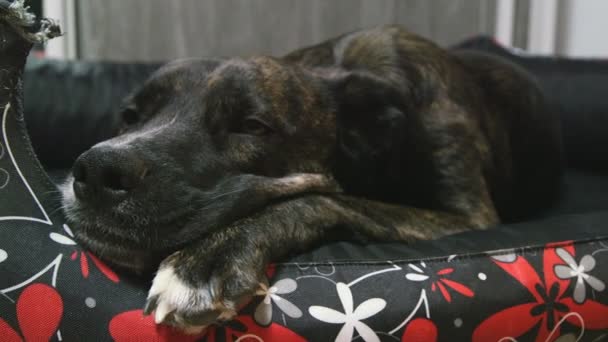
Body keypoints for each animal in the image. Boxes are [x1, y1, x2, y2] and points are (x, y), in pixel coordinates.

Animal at [60, 25, 560, 332]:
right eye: (130, 116)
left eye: (251, 125)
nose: (98, 170)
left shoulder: (470, 217)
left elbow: (319, 197)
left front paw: (206, 258)